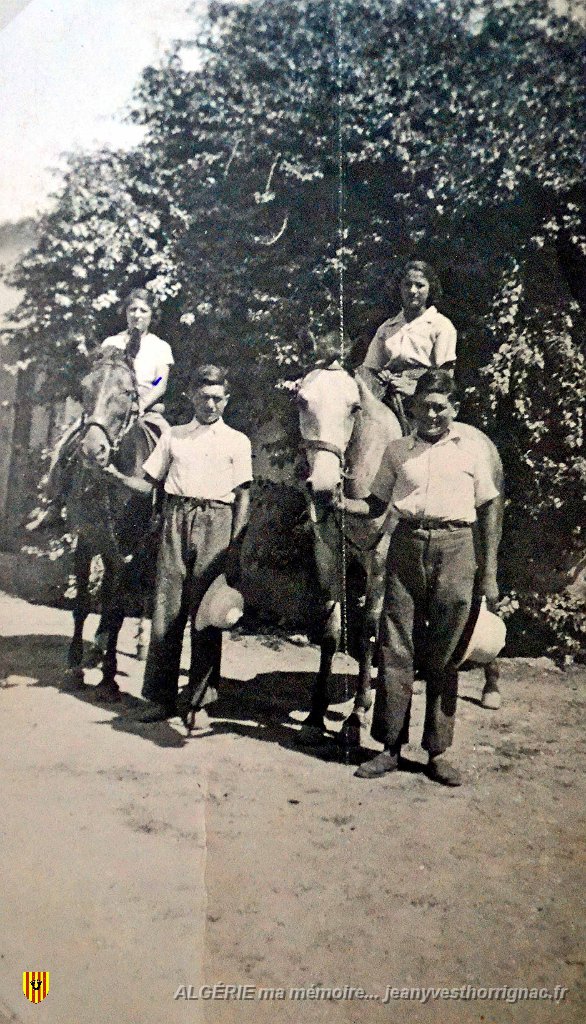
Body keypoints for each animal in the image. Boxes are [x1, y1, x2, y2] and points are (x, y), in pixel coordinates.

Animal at [65, 348, 159, 700]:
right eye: (84, 388)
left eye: (128, 392)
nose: (93, 451)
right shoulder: (87, 539)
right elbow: (82, 605)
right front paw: (75, 667)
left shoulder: (130, 551)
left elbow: (117, 609)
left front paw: (108, 678)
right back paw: (98, 645)